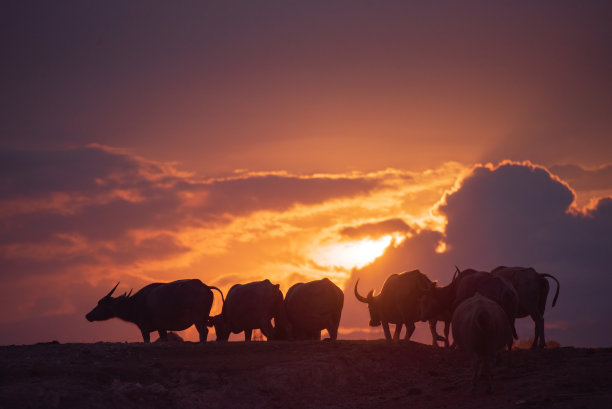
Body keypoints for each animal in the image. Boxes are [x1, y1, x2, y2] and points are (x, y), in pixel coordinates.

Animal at [83, 278, 222, 342]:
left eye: (101, 303)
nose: (88, 315)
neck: (134, 303)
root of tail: (205, 287)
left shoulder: (144, 328)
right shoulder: (162, 329)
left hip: (197, 318)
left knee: (203, 331)